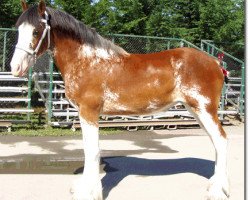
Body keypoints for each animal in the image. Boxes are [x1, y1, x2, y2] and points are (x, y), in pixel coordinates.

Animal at [11, 0, 230, 200]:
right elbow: (87, 148)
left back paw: (218, 191)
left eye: (36, 31)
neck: (87, 61)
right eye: (18, 30)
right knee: (216, 142)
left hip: (204, 109)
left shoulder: (89, 112)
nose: (15, 68)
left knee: (221, 140)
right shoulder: (84, 114)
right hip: (196, 110)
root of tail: (216, 62)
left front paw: (89, 192)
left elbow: (92, 150)